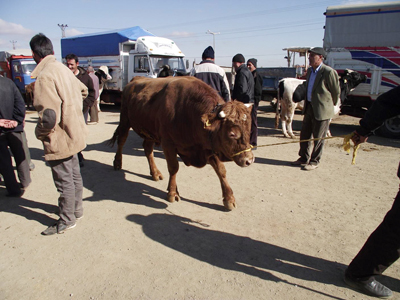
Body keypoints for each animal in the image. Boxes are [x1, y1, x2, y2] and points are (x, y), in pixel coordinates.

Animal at [108, 76, 255, 210]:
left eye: (249, 130)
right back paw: (117, 162)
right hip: (125, 120)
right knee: (122, 141)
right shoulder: (168, 144)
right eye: (232, 134)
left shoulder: (209, 146)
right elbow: (174, 167)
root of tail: (135, 79)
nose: (249, 160)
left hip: (149, 132)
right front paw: (172, 192)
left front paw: (229, 198)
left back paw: (155, 173)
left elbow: (221, 170)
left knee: (147, 149)